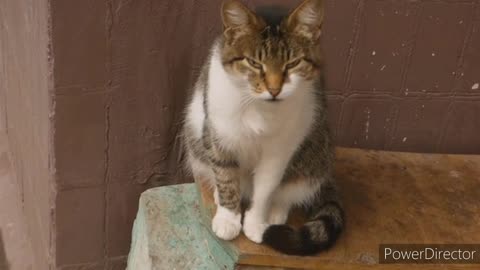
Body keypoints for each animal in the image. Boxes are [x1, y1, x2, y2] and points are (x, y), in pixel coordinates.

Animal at [182, 0, 344, 255]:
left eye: (293, 63)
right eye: (254, 63)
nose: (274, 90)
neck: (259, 109)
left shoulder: (279, 152)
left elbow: (266, 188)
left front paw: (256, 224)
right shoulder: (219, 136)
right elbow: (226, 177)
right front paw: (228, 219)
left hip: (317, 152)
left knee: (291, 190)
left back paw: (276, 212)